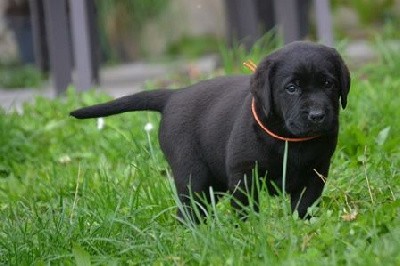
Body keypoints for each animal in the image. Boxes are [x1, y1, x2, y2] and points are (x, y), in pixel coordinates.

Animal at [72, 40, 350, 221]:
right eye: (291, 88)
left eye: (328, 83)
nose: (317, 116)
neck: (289, 139)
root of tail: (174, 95)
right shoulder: (244, 174)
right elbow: (246, 209)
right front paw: (249, 231)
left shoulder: (316, 172)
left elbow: (304, 206)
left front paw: (301, 228)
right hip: (193, 176)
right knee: (188, 211)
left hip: (212, 184)